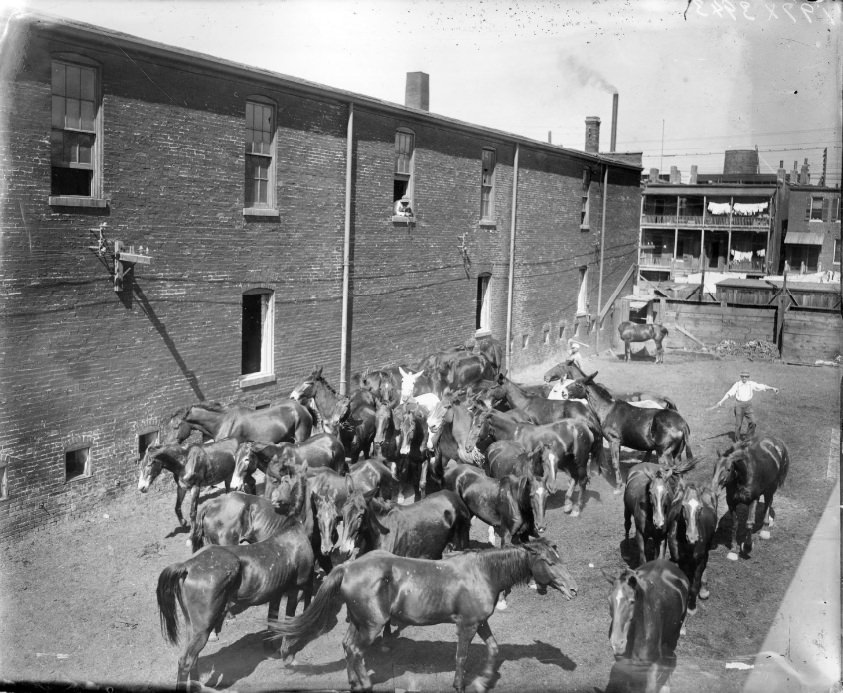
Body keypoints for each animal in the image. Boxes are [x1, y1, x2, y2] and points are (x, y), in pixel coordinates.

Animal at [155, 456, 314, 688]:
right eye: (281, 479)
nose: (277, 502)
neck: (291, 528)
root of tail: (188, 566)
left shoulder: (277, 593)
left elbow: (273, 618)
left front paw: (272, 647)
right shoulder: (296, 588)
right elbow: (289, 621)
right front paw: (288, 656)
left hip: (191, 625)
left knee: (192, 658)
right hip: (202, 628)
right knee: (186, 660)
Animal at [270, 536, 580, 692]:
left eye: (560, 558)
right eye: (549, 562)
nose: (574, 589)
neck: (483, 573)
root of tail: (347, 567)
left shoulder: (480, 622)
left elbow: (493, 649)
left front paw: (482, 682)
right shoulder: (467, 625)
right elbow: (461, 657)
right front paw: (460, 684)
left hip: (360, 622)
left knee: (347, 647)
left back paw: (354, 683)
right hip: (371, 626)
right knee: (356, 651)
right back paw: (366, 683)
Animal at [604, 556, 688, 692]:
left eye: (632, 601)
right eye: (609, 600)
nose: (617, 643)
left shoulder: (652, 665)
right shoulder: (626, 665)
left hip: (673, 637)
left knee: (670, 656)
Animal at [668, 482, 716, 612]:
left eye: (700, 507)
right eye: (683, 506)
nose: (692, 537)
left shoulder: (699, 560)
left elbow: (695, 584)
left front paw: (692, 607)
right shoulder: (680, 561)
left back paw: (703, 590)